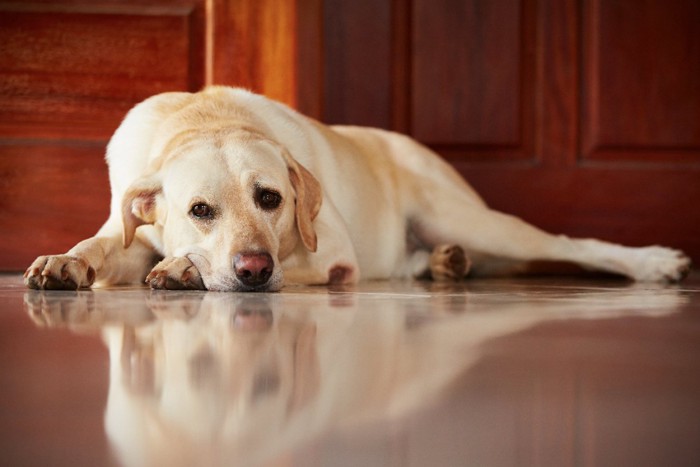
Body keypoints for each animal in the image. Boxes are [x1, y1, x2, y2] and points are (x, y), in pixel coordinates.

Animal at [24, 86, 692, 290]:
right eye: (199, 210)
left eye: (271, 199)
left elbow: (296, 264)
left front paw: (184, 270)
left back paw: (655, 262)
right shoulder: (129, 231)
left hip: (468, 217)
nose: (252, 269)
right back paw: (445, 264)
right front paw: (65, 261)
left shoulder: (333, 258)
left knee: (571, 244)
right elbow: (101, 245)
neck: (205, 118)